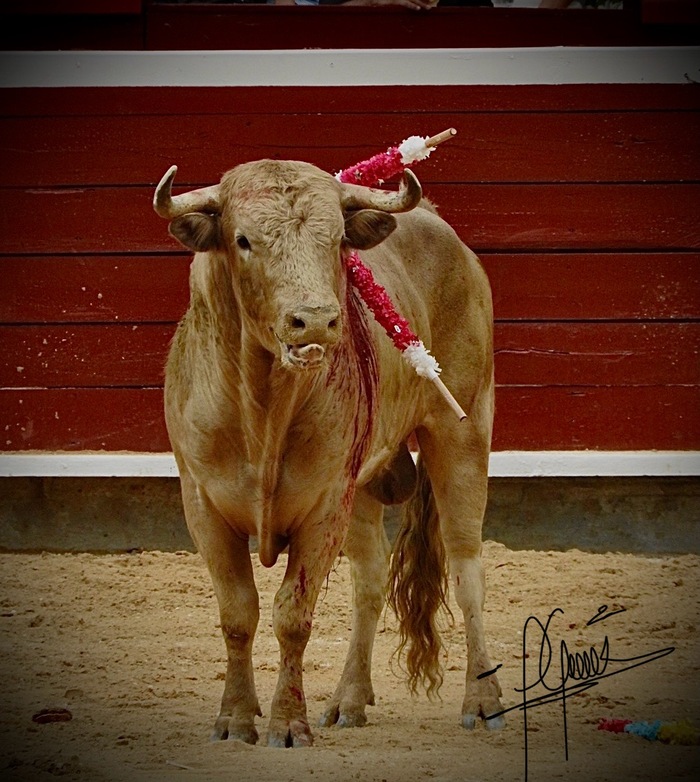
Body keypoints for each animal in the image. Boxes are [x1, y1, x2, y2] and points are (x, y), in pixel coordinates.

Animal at [153, 158, 505, 748]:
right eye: (242, 240)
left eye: (339, 240)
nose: (315, 320)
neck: (263, 409)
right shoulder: (202, 505)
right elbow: (238, 614)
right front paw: (235, 719)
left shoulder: (321, 507)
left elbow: (292, 615)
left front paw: (287, 724)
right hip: (358, 488)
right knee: (370, 580)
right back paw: (348, 700)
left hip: (463, 433)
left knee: (466, 569)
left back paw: (483, 702)